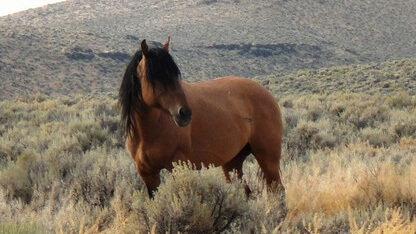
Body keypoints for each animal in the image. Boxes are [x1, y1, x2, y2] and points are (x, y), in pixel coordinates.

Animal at [118, 37, 284, 198]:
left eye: (175, 76)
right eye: (155, 78)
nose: (184, 113)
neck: (147, 132)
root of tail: (267, 93)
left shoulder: (177, 166)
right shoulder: (148, 174)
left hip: (268, 159)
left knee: (277, 191)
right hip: (232, 163)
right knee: (246, 192)